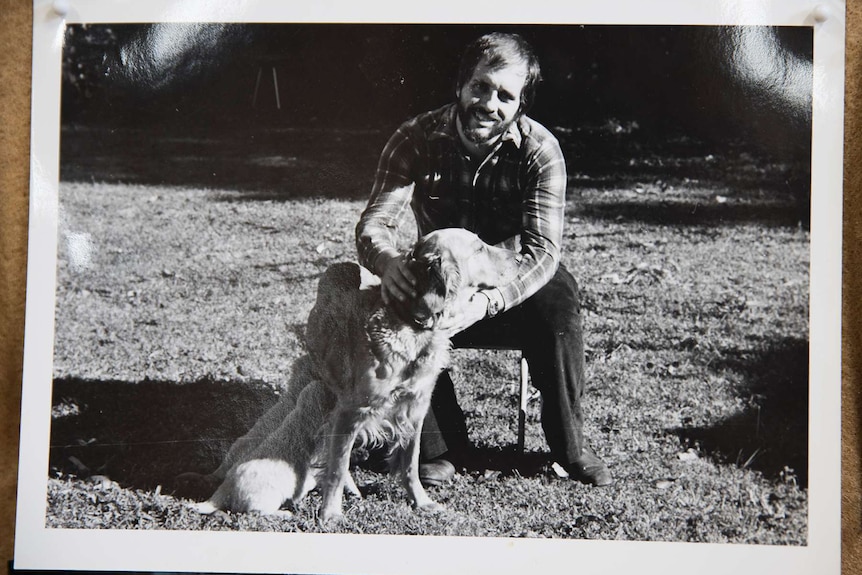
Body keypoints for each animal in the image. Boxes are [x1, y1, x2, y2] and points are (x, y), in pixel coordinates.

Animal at [185, 228, 516, 520]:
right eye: (479, 248)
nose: (518, 253)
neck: (409, 324)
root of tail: (341, 265)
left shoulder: (414, 409)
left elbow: (409, 465)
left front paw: (421, 502)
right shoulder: (350, 412)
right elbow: (337, 468)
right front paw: (330, 514)